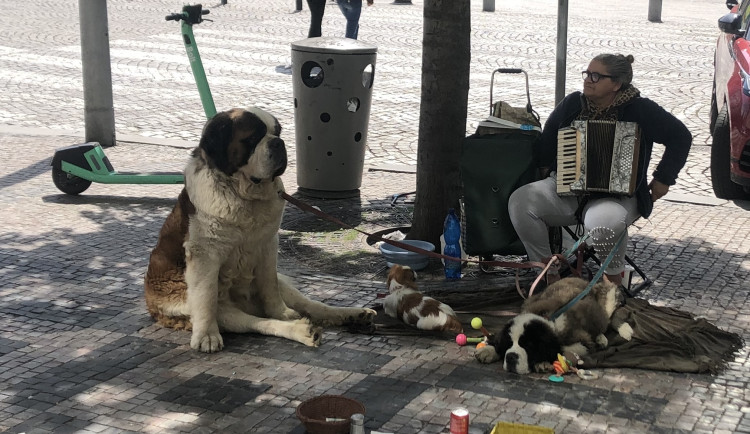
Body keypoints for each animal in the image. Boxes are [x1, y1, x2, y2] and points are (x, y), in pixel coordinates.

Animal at [144, 107, 376, 352]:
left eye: (278, 131)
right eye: (253, 137)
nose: (279, 142)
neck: (245, 196)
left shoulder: (267, 245)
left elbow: (269, 285)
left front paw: (282, 313)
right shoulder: (204, 254)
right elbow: (206, 298)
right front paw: (207, 336)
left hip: (285, 286)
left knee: (310, 305)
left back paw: (353, 315)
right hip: (213, 307)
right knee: (256, 322)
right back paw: (303, 331)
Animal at [476, 278, 636, 372]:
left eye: (528, 345)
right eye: (508, 344)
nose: (510, 357)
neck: (548, 318)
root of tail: (587, 282)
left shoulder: (581, 341)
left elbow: (562, 350)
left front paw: (543, 362)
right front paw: (489, 350)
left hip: (608, 295)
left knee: (611, 317)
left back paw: (618, 331)